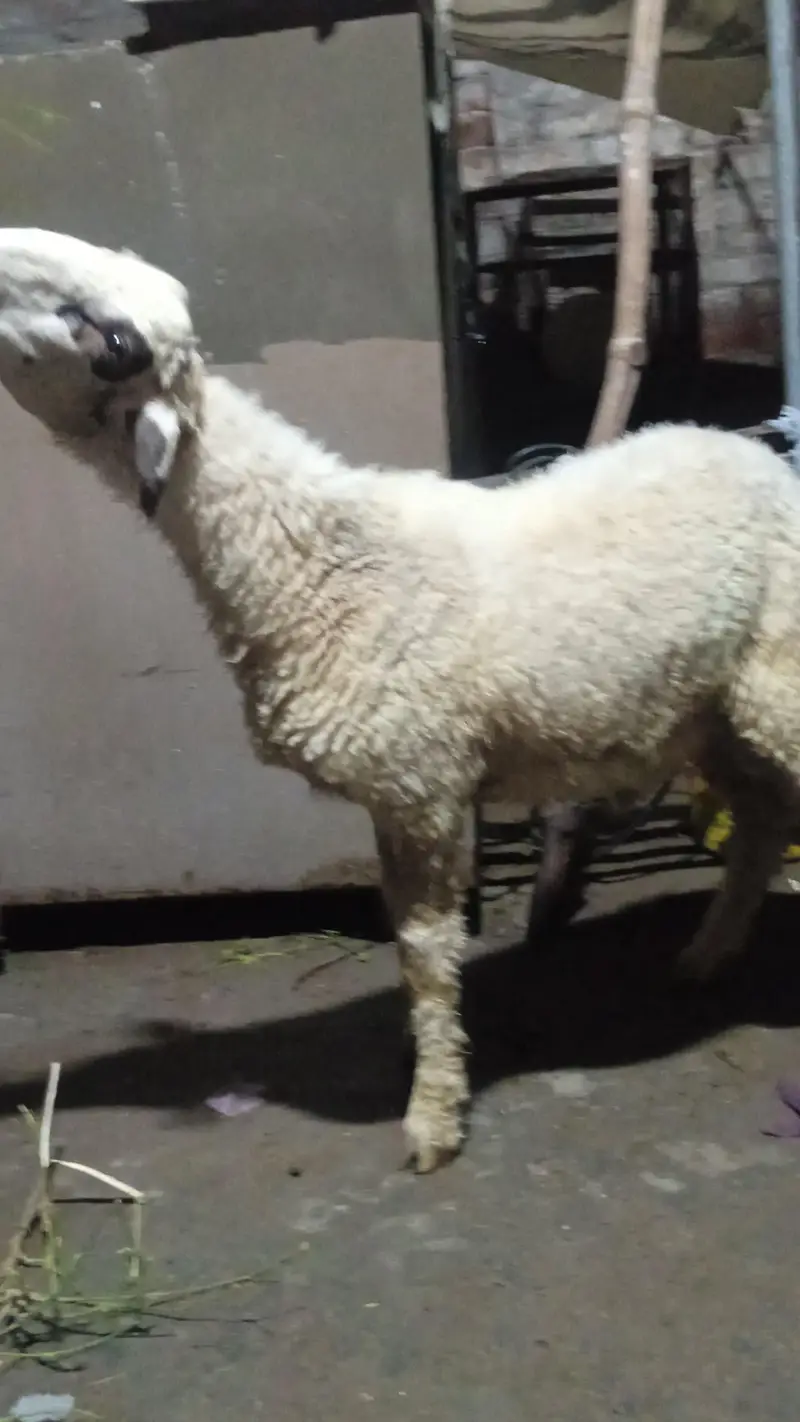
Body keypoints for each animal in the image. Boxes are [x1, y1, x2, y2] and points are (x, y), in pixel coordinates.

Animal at [1, 227, 800, 1174]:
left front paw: (433, 1116)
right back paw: (708, 953)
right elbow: (406, 940)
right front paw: (423, 1051)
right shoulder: (393, 789)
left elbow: (424, 947)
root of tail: (751, 450)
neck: (318, 563)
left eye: (100, 332)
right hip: (711, 708)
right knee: (762, 818)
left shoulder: (423, 782)